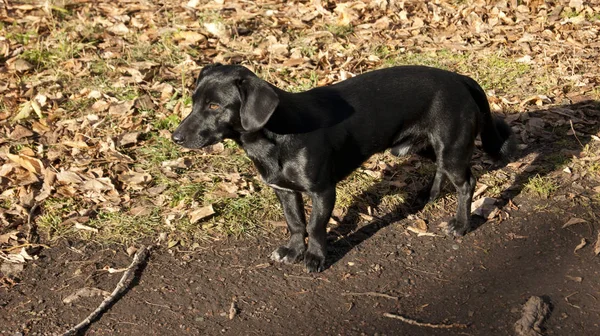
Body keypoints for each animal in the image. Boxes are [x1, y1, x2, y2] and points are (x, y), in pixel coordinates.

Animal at [170, 63, 516, 272]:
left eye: (215, 105)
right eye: (194, 102)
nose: (175, 137)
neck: (275, 136)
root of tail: (460, 79)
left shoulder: (323, 191)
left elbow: (315, 227)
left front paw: (315, 257)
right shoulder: (285, 191)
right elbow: (295, 224)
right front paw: (293, 251)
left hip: (452, 148)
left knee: (466, 183)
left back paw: (461, 224)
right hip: (424, 147)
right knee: (442, 172)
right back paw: (426, 198)